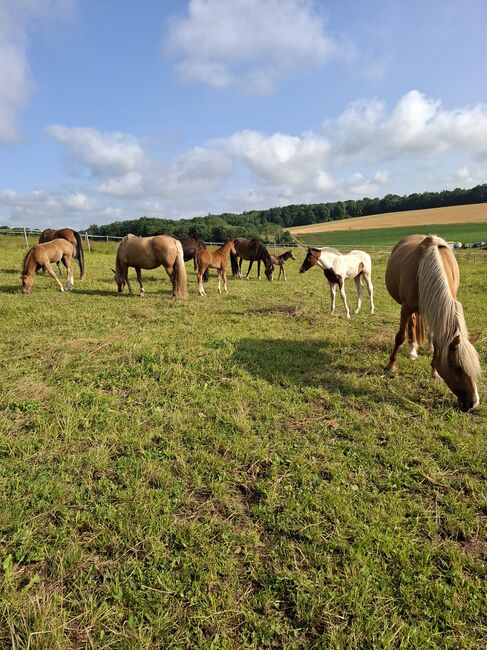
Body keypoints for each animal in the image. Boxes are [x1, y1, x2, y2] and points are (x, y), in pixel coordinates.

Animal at [385, 234, 481, 411]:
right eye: (457, 367)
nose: (473, 403)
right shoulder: (406, 307)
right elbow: (400, 337)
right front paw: (391, 365)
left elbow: (438, 344)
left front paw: (435, 372)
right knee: (412, 324)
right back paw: (413, 350)